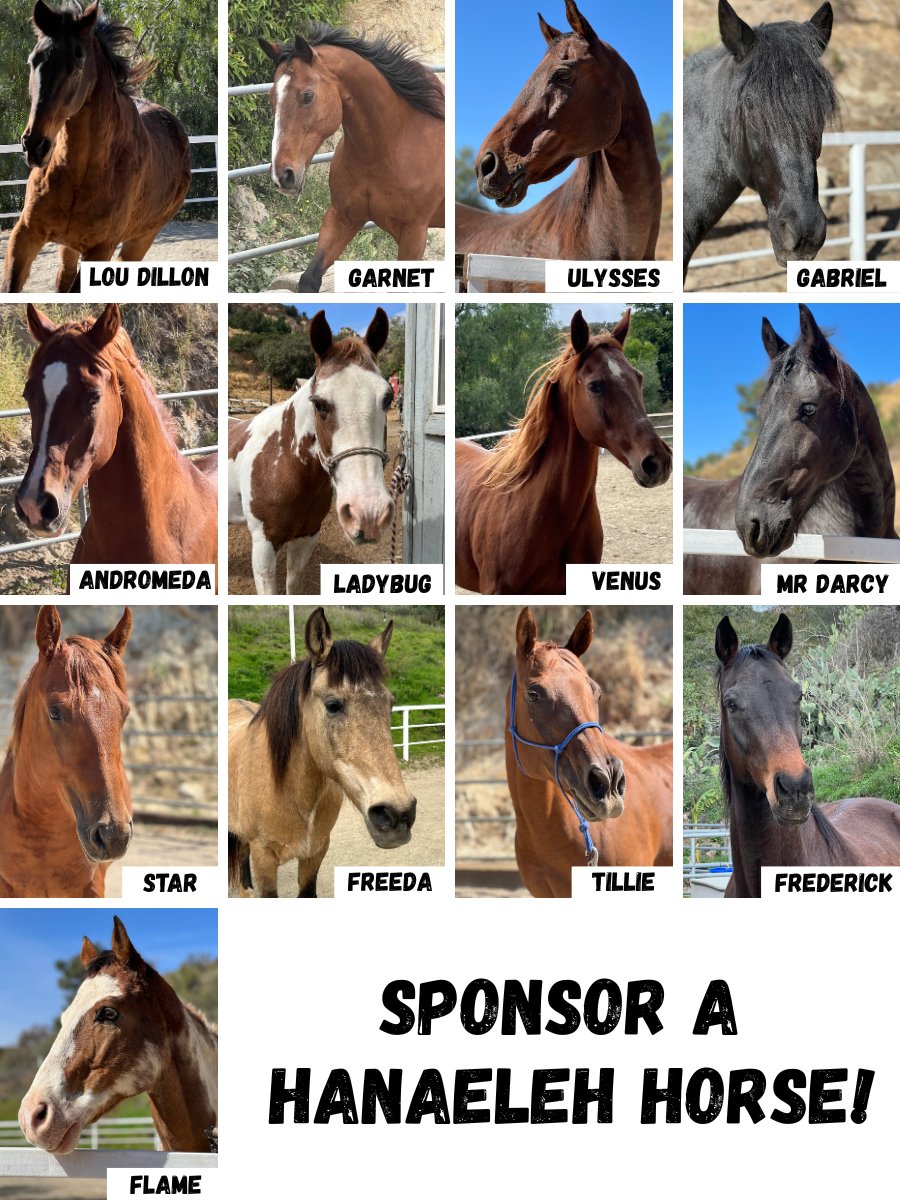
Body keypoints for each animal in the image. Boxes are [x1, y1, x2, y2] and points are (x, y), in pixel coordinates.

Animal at [2, 1, 190, 294]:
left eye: (78, 63)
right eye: (33, 60)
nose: (35, 146)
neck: (81, 174)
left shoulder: (100, 250)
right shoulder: (25, 234)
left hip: (139, 241)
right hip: (69, 246)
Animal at [228, 308, 394, 594]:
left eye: (388, 398)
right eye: (320, 404)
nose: (369, 513)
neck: (282, 465)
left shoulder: (306, 538)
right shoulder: (263, 547)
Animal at [259, 22, 444, 293]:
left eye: (307, 96)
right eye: (272, 98)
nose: (281, 176)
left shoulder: (414, 236)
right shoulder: (341, 217)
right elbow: (309, 278)